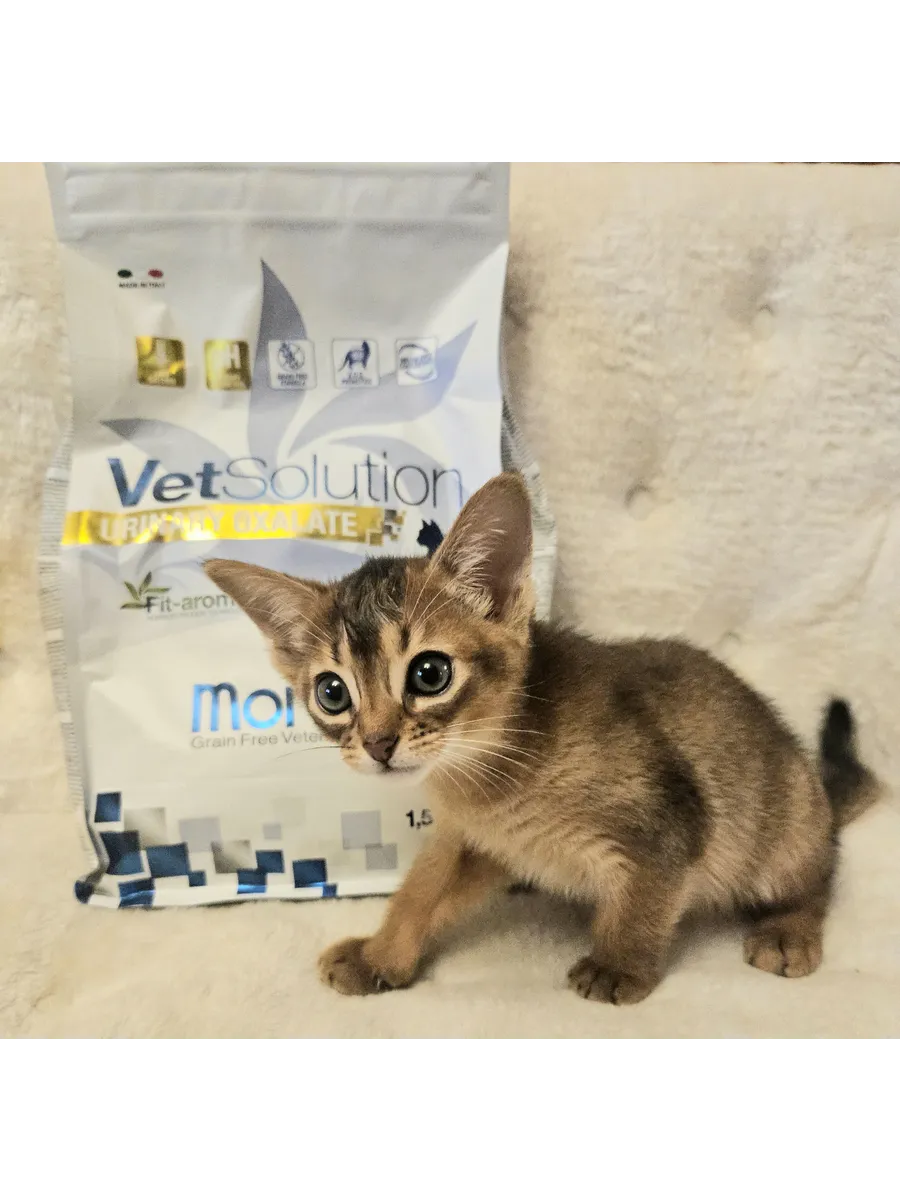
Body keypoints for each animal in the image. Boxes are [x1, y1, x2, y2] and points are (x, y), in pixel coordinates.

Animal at [204, 472, 879, 1005]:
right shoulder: (470, 840)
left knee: (819, 871)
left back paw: (788, 930)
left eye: (429, 673)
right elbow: (418, 892)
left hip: (779, 826)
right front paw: (379, 957)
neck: (488, 775)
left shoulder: (672, 821)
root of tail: (816, 787)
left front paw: (618, 965)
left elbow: (645, 900)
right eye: (332, 692)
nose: (376, 744)